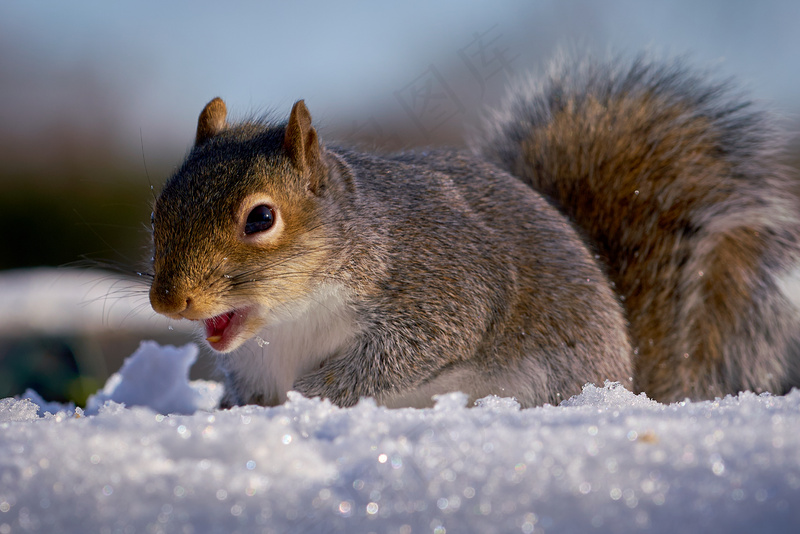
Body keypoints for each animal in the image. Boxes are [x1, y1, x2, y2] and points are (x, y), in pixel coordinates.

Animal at [145, 54, 800, 408]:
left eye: (261, 218)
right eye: (158, 210)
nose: (168, 301)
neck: (289, 321)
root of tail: (633, 380)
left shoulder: (441, 285)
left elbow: (415, 349)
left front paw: (319, 390)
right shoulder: (253, 366)